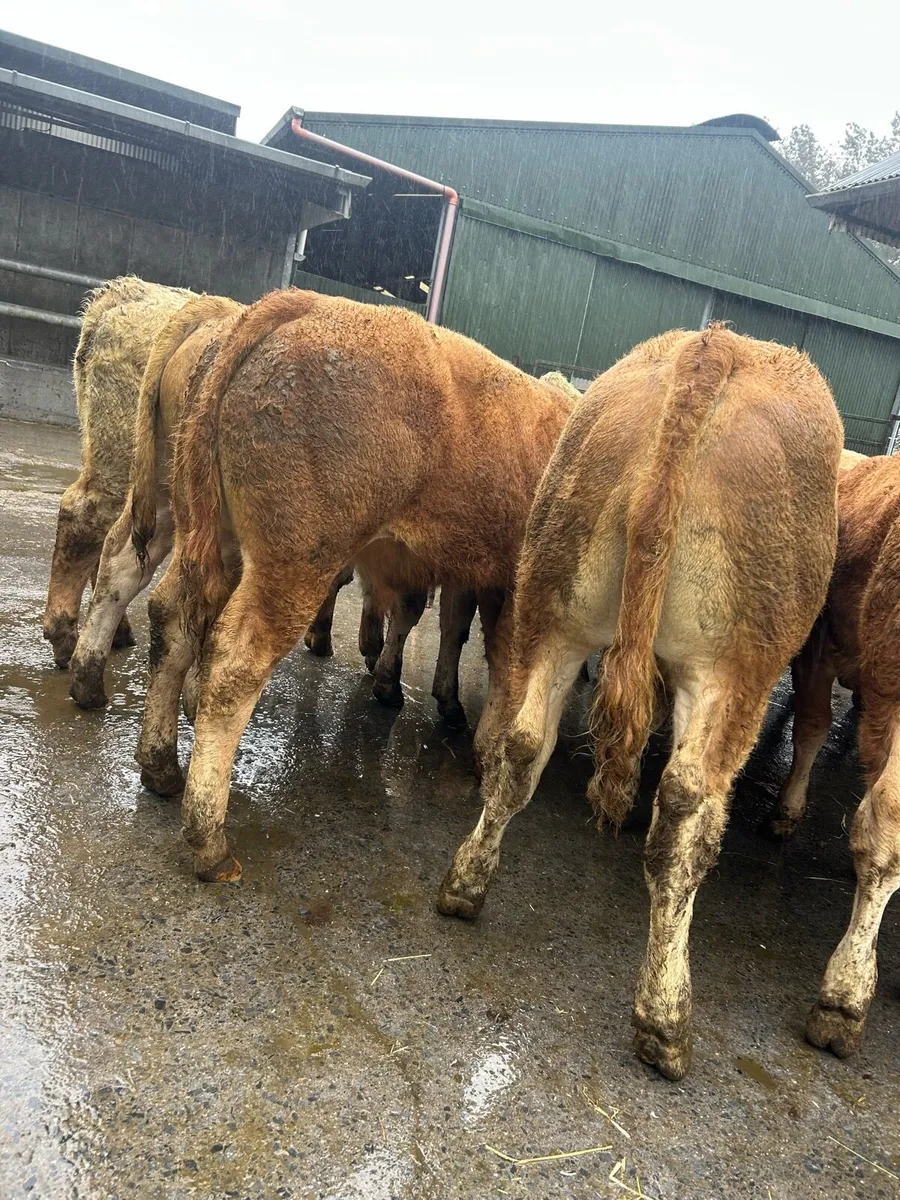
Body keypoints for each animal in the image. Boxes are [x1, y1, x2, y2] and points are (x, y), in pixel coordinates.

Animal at [134, 288, 575, 882]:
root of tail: (300, 303)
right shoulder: (509, 588)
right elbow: (502, 663)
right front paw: (482, 747)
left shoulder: (470, 575)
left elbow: (457, 635)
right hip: (295, 561)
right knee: (234, 663)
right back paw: (209, 839)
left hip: (210, 536)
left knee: (171, 618)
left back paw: (160, 766)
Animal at [437, 325, 842, 1081]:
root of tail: (713, 350)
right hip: (730, 671)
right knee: (686, 810)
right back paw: (664, 1019)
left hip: (556, 606)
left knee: (521, 748)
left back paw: (465, 886)